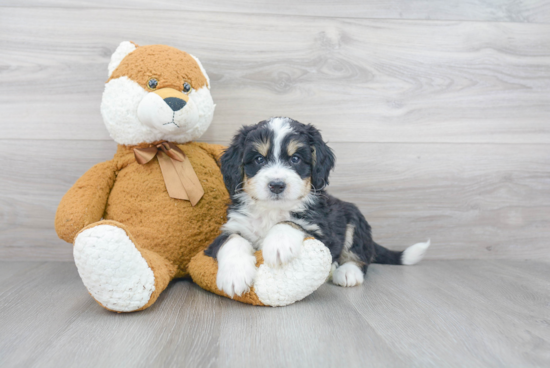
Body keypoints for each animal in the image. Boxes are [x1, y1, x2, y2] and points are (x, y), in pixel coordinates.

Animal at [206, 117, 432, 296]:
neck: (272, 210)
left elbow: (292, 222)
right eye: (259, 159)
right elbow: (232, 240)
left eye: (296, 159)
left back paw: (347, 272)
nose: (277, 185)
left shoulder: (323, 231)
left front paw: (278, 245)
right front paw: (234, 276)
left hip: (354, 218)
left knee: (360, 257)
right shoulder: (230, 228)